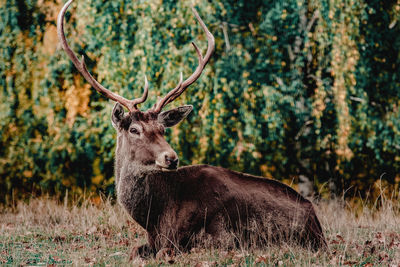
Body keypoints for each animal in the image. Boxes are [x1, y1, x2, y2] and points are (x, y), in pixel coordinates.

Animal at [58, 0, 328, 260]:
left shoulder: (214, 238)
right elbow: (133, 250)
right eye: (134, 129)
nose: (171, 157)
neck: (154, 218)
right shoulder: (152, 241)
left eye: (163, 129)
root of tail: (316, 220)